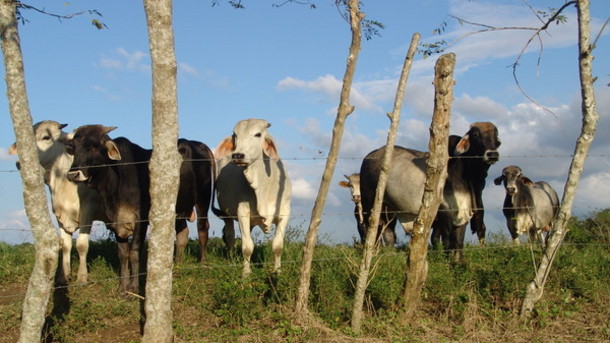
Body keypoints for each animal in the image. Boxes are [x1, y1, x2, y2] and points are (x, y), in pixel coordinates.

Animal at [8, 121, 105, 284]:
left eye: (46, 137)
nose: (20, 163)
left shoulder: (88, 210)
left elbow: (81, 244)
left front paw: (82, 277)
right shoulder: (60, 214)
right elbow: (65, 245)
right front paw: (63, 276)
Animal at [213, 119, 290, 278]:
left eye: (258, 134)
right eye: (235, 135)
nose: (237, 155)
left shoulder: (285, 213)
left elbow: (278, 245)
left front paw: (277, 271)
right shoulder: (242, 212)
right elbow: (247, 246)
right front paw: (246, 273)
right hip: (227, 214)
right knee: (230, 236)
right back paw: (231, 259)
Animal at [358, 122, 496, 260]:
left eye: (496, 134)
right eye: (475, 134)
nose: (492, 154)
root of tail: (369, 156)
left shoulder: (463, 211)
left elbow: (457, 238)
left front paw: (456, 260)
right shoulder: (444, 212)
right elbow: (446, 239)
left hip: (389, 209)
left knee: (388, 232)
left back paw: (389, 254)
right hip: (369, 203)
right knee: (371, 227)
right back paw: (373, 252)